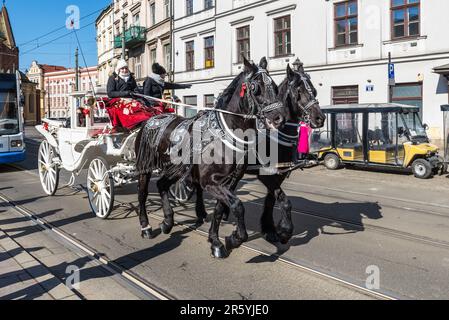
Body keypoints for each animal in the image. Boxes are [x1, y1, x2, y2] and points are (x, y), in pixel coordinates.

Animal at [134, 57, 288, 258]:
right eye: (255, 87)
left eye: (275, 87)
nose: (279, 118)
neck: (226, 133)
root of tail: (151, 119)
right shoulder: (209, 182)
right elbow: (237, 205)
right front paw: (235, 238)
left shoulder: (229, 182)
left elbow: (220, 209)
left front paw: (216, 241)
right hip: (145, 167)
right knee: (143, 194)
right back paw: (145, 227)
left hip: (176, 170)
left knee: (161, 185)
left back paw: (168, 222)